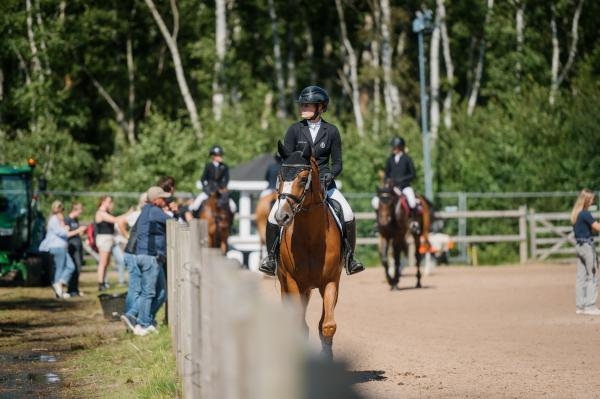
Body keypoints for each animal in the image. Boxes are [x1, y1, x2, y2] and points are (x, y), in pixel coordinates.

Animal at [272, 142, 342, 360]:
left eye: (303, 179)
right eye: (279, 177)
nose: (282, 217)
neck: (311, 237)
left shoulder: (330, 281)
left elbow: (327, 325)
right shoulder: (293, 282)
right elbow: (299, 327)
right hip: (288, 285)